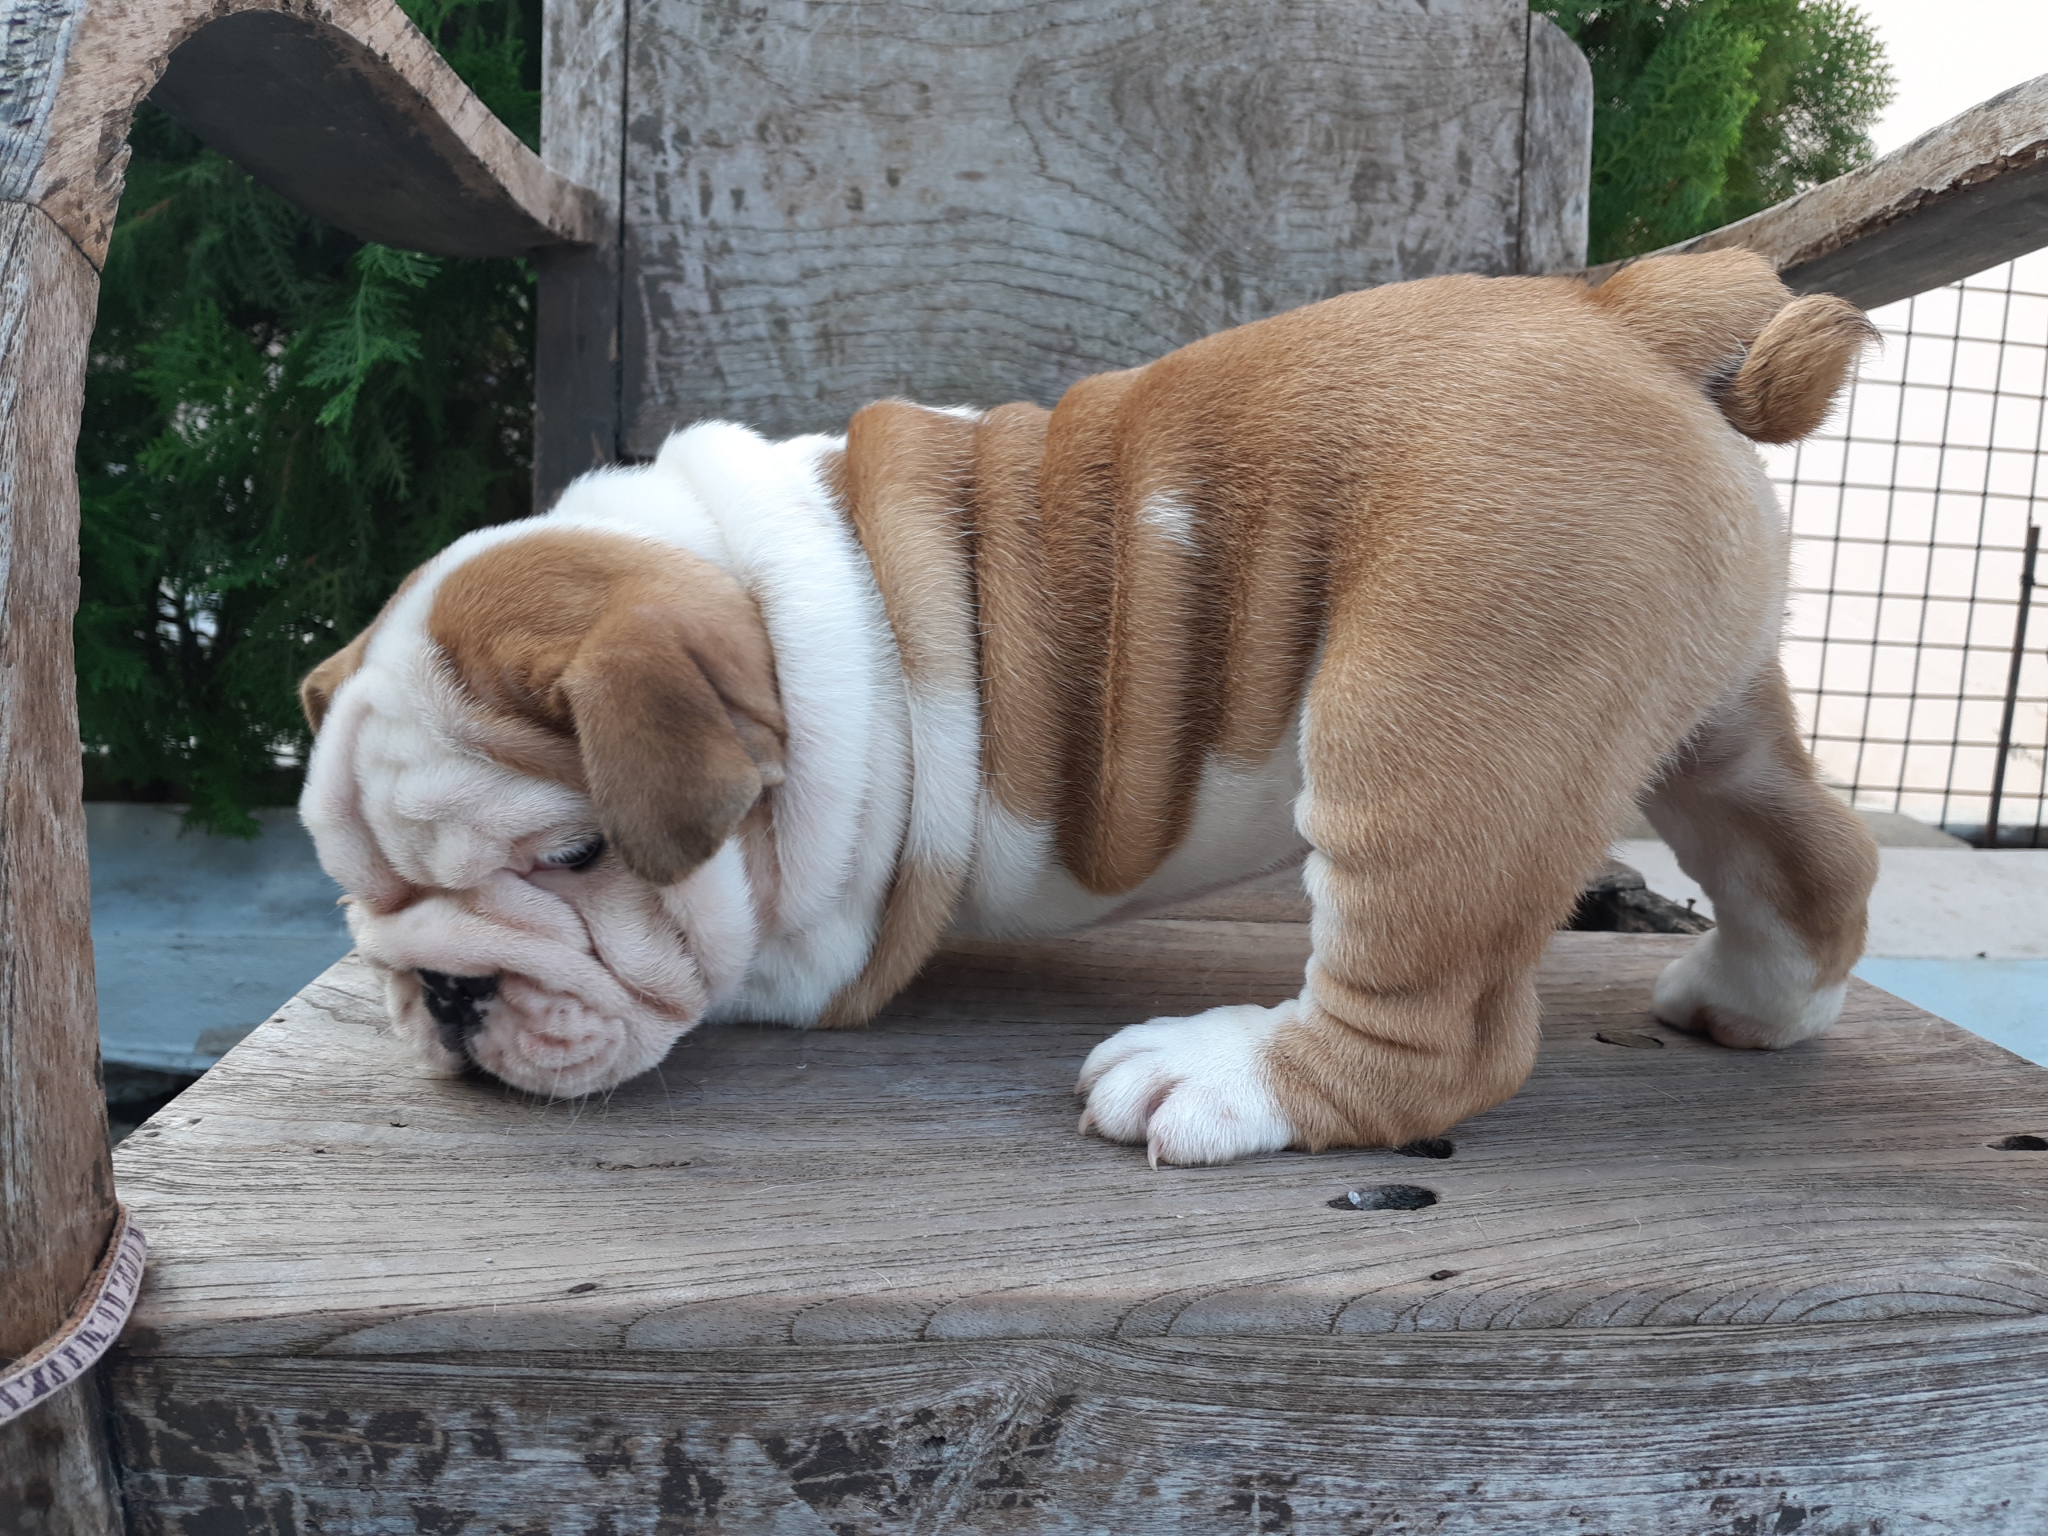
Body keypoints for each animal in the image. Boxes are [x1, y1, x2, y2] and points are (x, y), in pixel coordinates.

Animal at [297, 249, 1880, 1166]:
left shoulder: (807, 953)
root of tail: (1627, 311)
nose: (444, 991)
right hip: (1694, 707)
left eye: (577, 858)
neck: (759, 607)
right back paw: (1753, 1002)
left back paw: (1218, 1077)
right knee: (1804, 848)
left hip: (1442, 709)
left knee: (1432, 1030)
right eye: (360, 892)